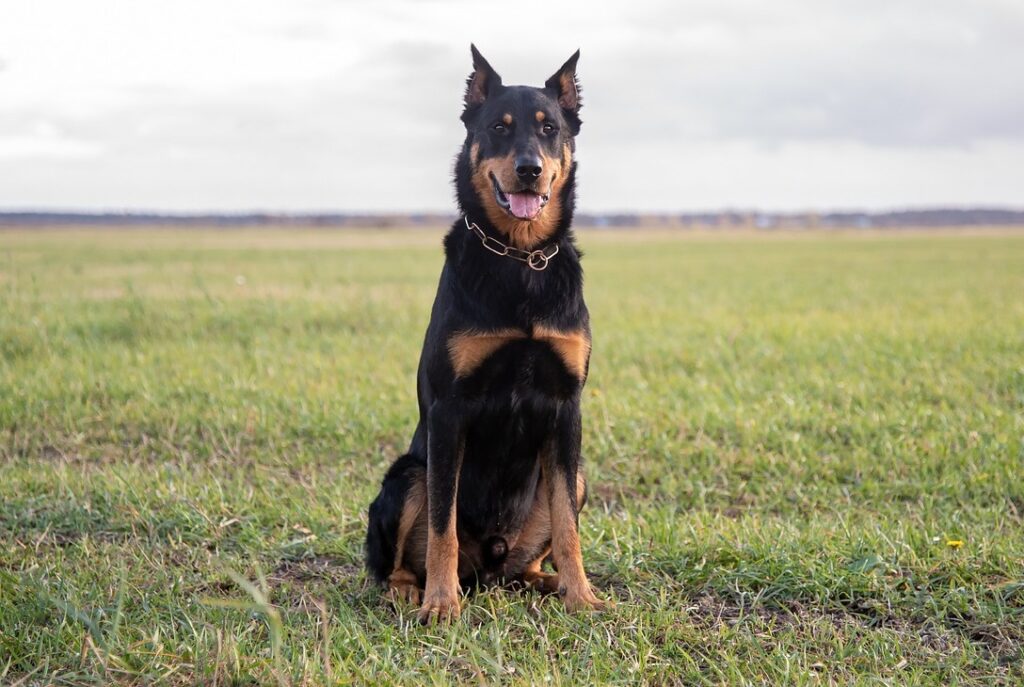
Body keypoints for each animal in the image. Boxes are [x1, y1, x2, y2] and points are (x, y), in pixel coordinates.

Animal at [362, 43, 602, 622]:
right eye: (498, 127)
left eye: (549, 128)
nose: (528, 170)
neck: (519, 258)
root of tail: (490, 567)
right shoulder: (450, 411)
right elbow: (442, 525)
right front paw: (441, 603)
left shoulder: (566, 407)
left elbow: (568, 525)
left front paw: (581, 594)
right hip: (406, 477)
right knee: (399, 558)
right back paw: (410, 590)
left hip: (577, 476)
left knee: (535, 553)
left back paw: (546, 581)